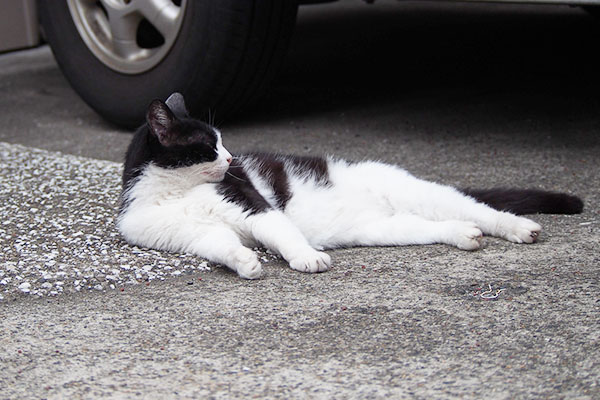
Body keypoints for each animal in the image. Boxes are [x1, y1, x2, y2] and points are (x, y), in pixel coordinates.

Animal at [117, 93, 580, 282]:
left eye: (223, 142)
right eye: (209, 146)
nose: (232, 160)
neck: (171, 191)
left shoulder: (250, 202)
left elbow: (280, 231)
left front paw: (306, 258)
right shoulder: (184, 234)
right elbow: (218, 242)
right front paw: (245, 262)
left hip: (420, 193)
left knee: (480, 209)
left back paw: (518, 228)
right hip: (386, 229)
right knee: (439, 225)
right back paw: (465, 236)